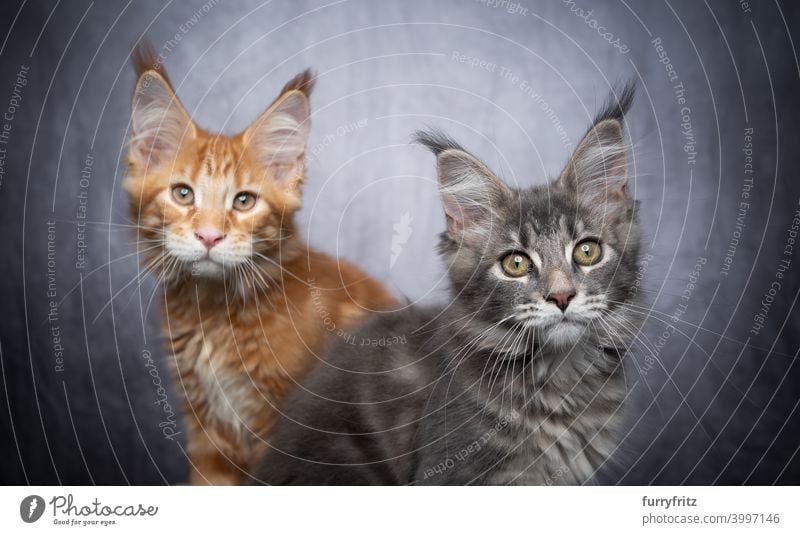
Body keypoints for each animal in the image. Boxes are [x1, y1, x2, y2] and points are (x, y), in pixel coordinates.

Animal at [125, 45, 396, 486]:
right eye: (183, 194)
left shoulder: (286, 430)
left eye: (244, 201)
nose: (209, 236)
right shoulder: (207, 432)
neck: (215, 315)